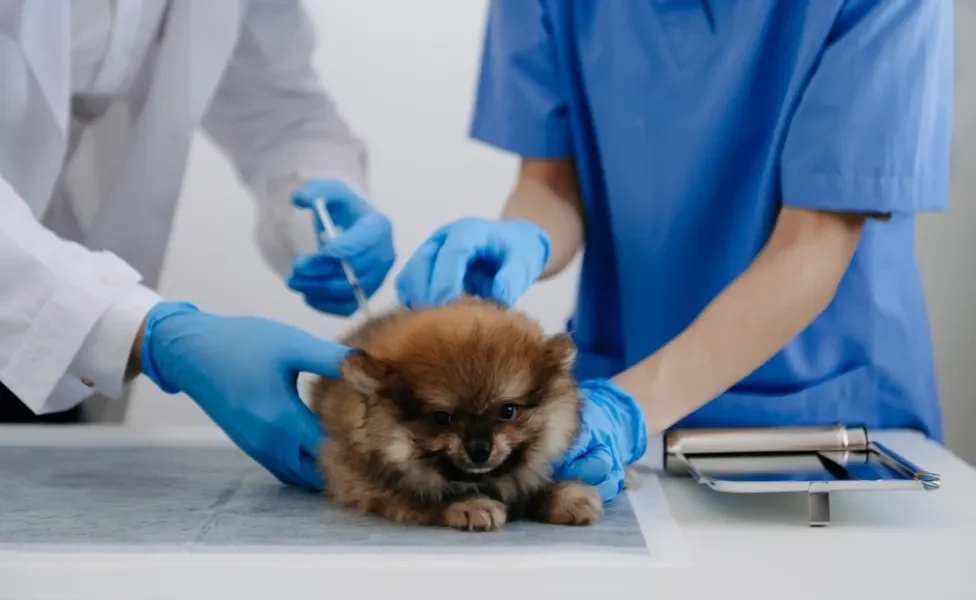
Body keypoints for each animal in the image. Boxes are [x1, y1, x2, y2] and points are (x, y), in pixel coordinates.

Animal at [312, 298, 604, 532]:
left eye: (507, 411)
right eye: (442, 418)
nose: (480, 450)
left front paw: (566, 494)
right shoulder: (363, 479)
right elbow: (423, 495)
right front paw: (470, 504)